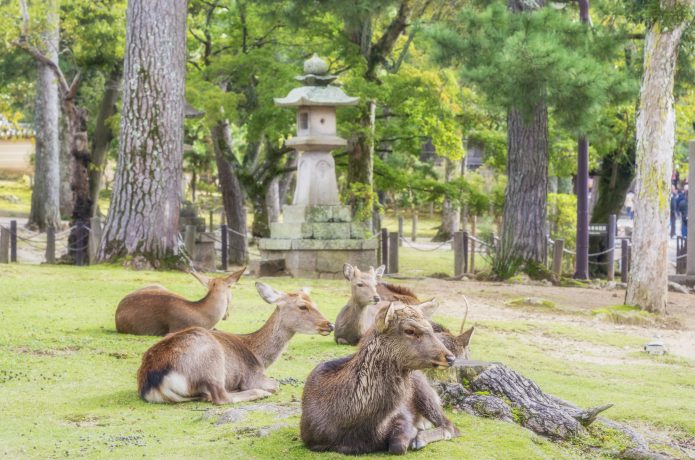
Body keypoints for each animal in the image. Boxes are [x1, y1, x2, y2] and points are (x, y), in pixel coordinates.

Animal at [139, 282, 334, 404]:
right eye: (302, 306)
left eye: (314, 303)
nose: (329, 325)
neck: (260, 358)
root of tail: (153, 382)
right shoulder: (252, 376)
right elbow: (275, 385)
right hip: (212, 361)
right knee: (220, 397)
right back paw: (256, 393)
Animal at [300, 300, 460, 454]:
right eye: (409, 330)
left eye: (431, 329)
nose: (451, 357)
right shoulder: (311, 440)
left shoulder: (403, 414)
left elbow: (398, 446)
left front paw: (413, 436)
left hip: (425, 393)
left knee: (450, 426)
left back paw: (420, 438)